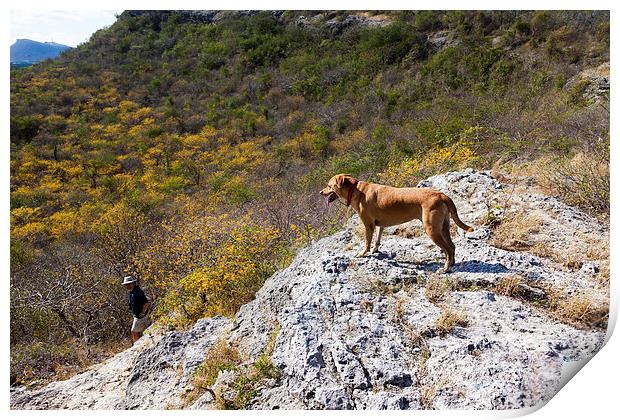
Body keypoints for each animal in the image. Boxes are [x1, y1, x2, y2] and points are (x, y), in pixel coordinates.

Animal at [320, 174, 474, 272]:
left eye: (329, 185)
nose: (321, 192)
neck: (356, 189)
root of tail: (442, 195)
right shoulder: (380, 224)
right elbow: (378, 239)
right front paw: (375, 249)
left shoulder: (368, 225)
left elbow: (367, 242)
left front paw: (363, 253)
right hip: (443, 227)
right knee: (452, 246)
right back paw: (452, 264)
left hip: (432, 230)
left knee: (447, 249)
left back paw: (445, 268)